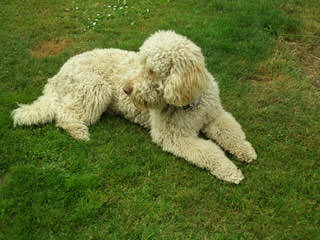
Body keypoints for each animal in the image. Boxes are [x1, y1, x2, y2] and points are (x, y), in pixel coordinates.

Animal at [13, 30, 258, 184]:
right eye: (140, 63)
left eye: (152, 70)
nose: (126, 89)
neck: (189, 103)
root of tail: (57, 75)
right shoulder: (174, 137)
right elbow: (210, 151)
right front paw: (229, 170)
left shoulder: (215, 115)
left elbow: (231, 133)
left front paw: (245, 151)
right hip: (96, 89)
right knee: (63, 114)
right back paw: (79, 131)